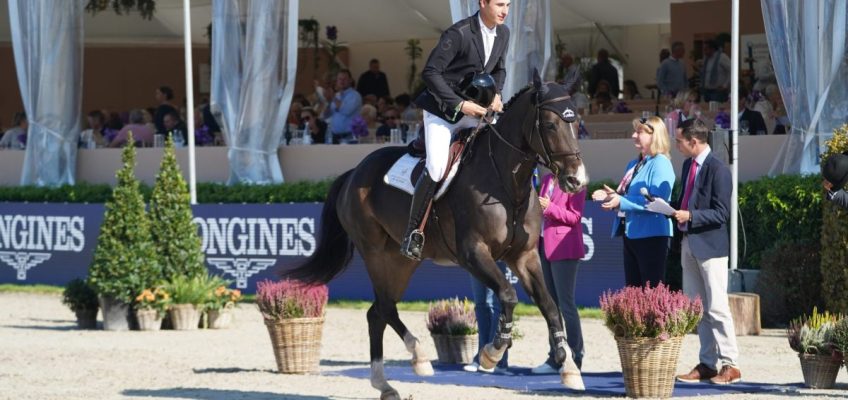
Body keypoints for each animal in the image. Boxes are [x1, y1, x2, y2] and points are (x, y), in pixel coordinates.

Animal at [288, 72, 588, 400]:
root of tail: (353, 173)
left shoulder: (524, 256)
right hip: (375, 254)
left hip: (403, 261)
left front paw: (568, 368)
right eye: (550, 124)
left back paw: (386, 385)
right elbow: (508, 296)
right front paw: (492, 353)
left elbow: (550, 306)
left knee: (377, 312)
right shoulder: (473, 253)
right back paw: (418, 358)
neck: (507, 184)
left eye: (576, 122)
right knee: (384, 307)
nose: (576, 180)